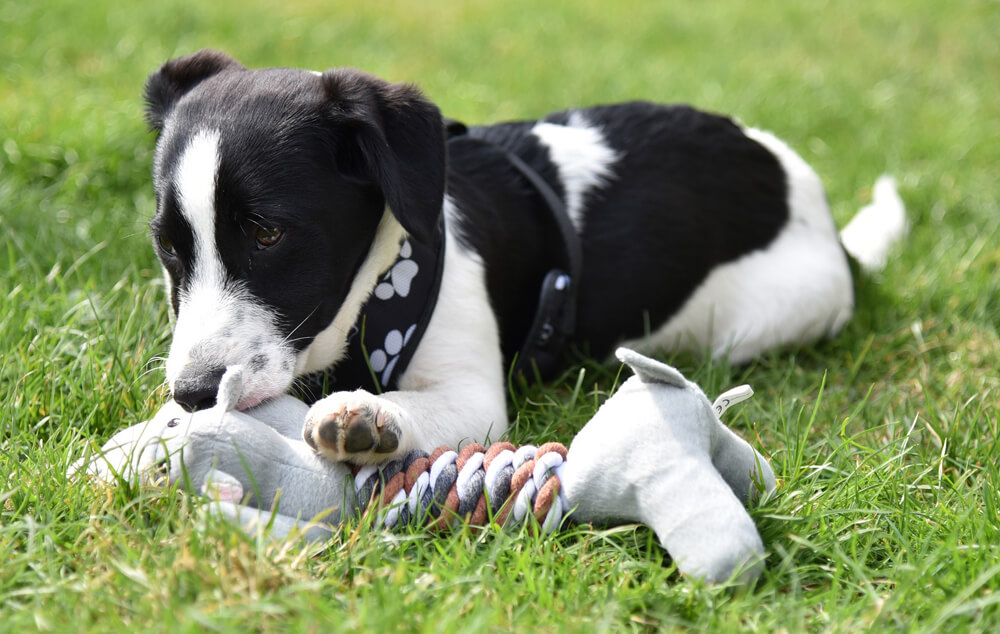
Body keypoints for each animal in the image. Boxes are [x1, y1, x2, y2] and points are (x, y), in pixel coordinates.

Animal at [143, 49, 908, 462]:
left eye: (268, 234)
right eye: (168, 247)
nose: (193, 393)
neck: (373, 292)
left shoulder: (473, 393)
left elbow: (414, 405)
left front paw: (367, 416)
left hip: (759, 321)